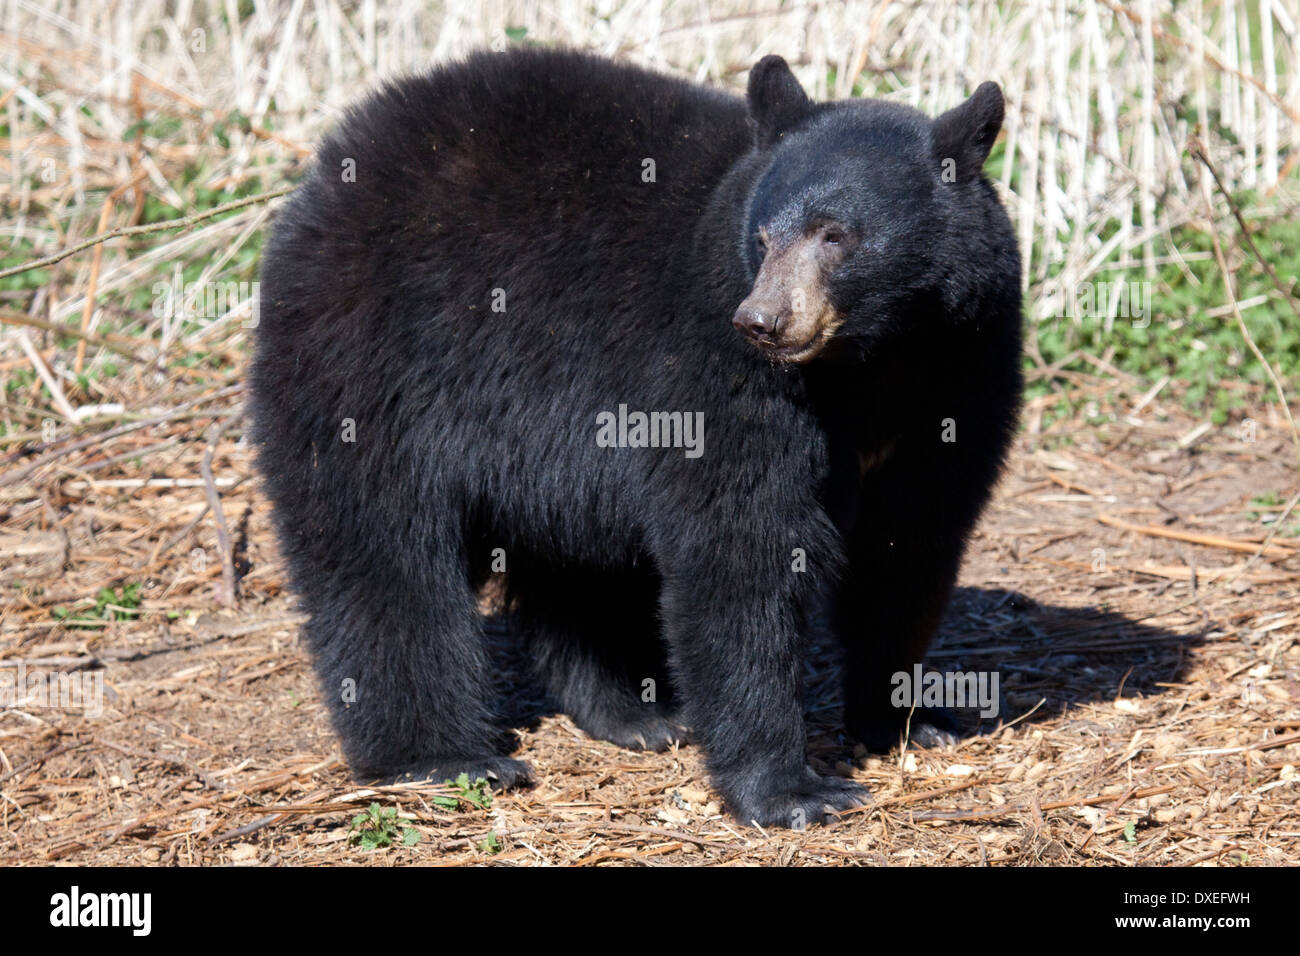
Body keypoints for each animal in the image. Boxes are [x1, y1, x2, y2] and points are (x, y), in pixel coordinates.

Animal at [249, 47, 1022, 828]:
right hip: (371, 361)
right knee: (383, 551)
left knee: (577, 570)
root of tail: (328, 171)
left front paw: (908, 718)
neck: (875, 362)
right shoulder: (719, 378)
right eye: (764, 237)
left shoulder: (963, 366)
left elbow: (910, 546)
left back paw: (635, 714)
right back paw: (444, 757)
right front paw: (792, 789)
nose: (762, 320)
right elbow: (743, 549)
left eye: (836, 235)